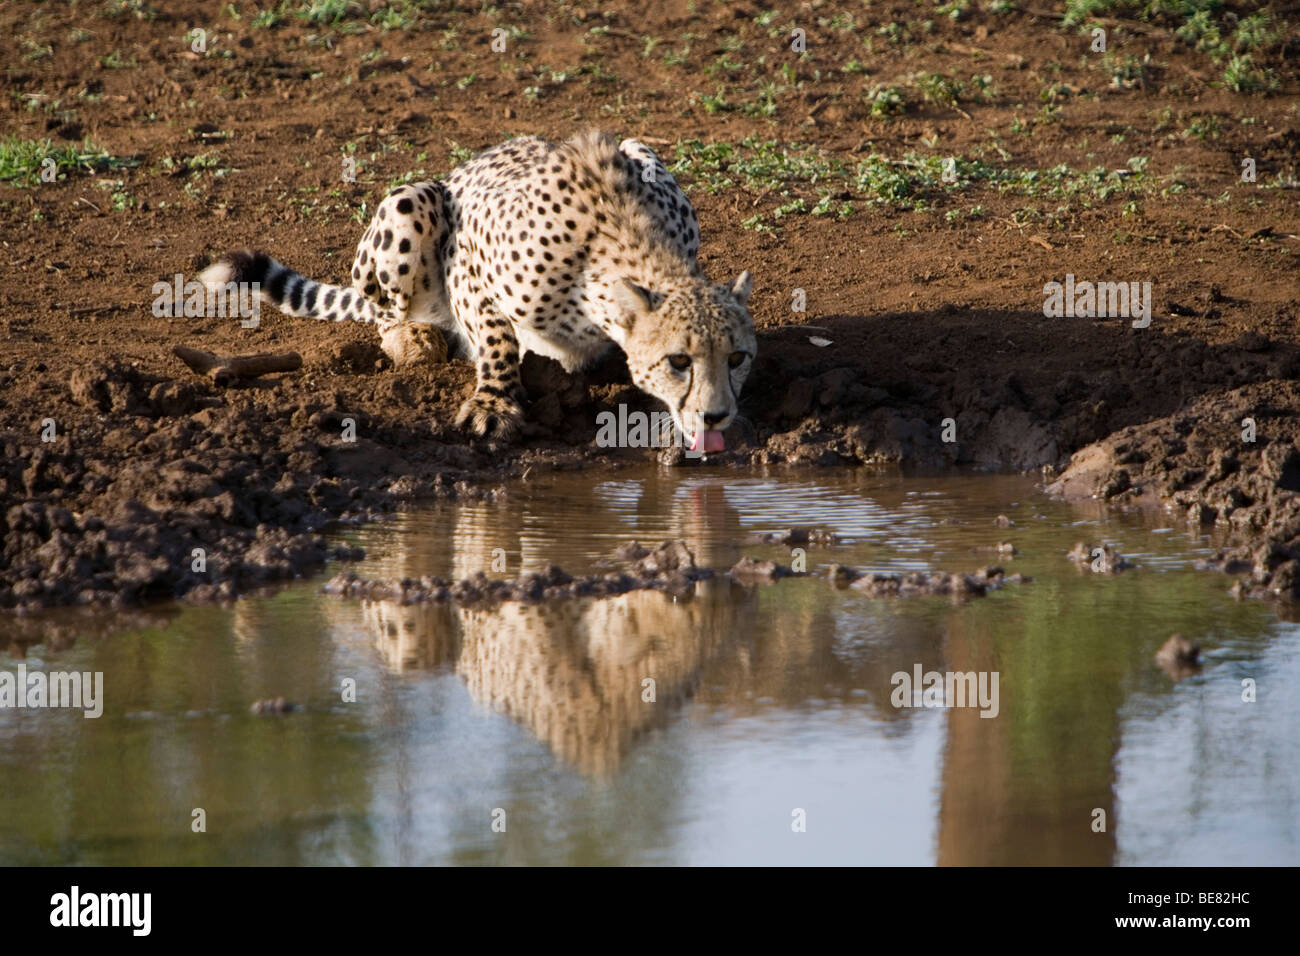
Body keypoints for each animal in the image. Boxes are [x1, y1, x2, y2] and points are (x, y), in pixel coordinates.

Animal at [197, 130, 759, 452]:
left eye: (737, 359)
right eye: (679, 360)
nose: (717, 414)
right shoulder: (466, 262)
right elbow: (495, 337)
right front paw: (494, 404)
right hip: (412, 201)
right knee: (385, 312)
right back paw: (413, 338)